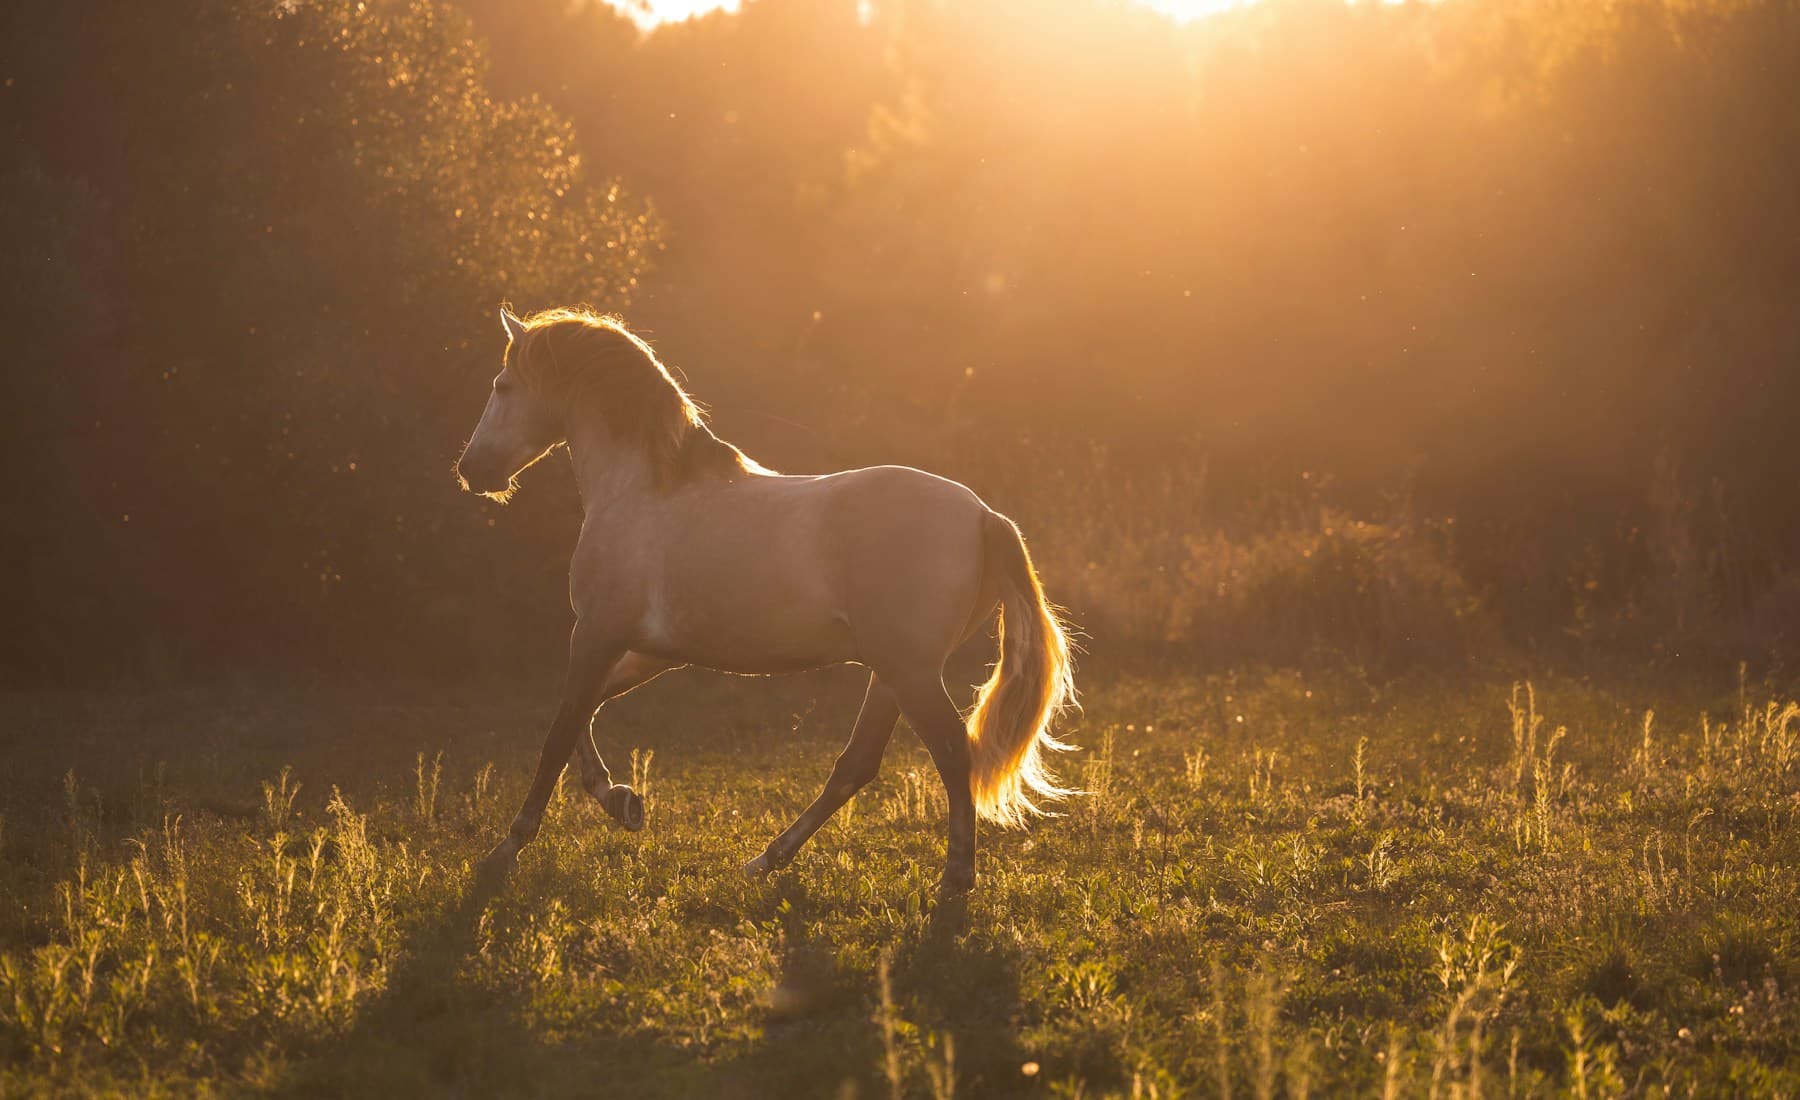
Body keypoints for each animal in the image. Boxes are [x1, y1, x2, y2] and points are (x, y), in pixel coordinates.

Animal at [455, 306, 1077, 894]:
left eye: (502, 385)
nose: (471, 470)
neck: (644, 491)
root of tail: (984, 516)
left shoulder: (595, 633)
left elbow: (559, 734)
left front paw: (505, 852)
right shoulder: (650, 651)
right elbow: (582, 713)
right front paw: (622, 801)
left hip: (912, 674)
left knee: (950, 753)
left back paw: (955, 876)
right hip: (892, 674)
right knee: (857, 765)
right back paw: (767, 860)